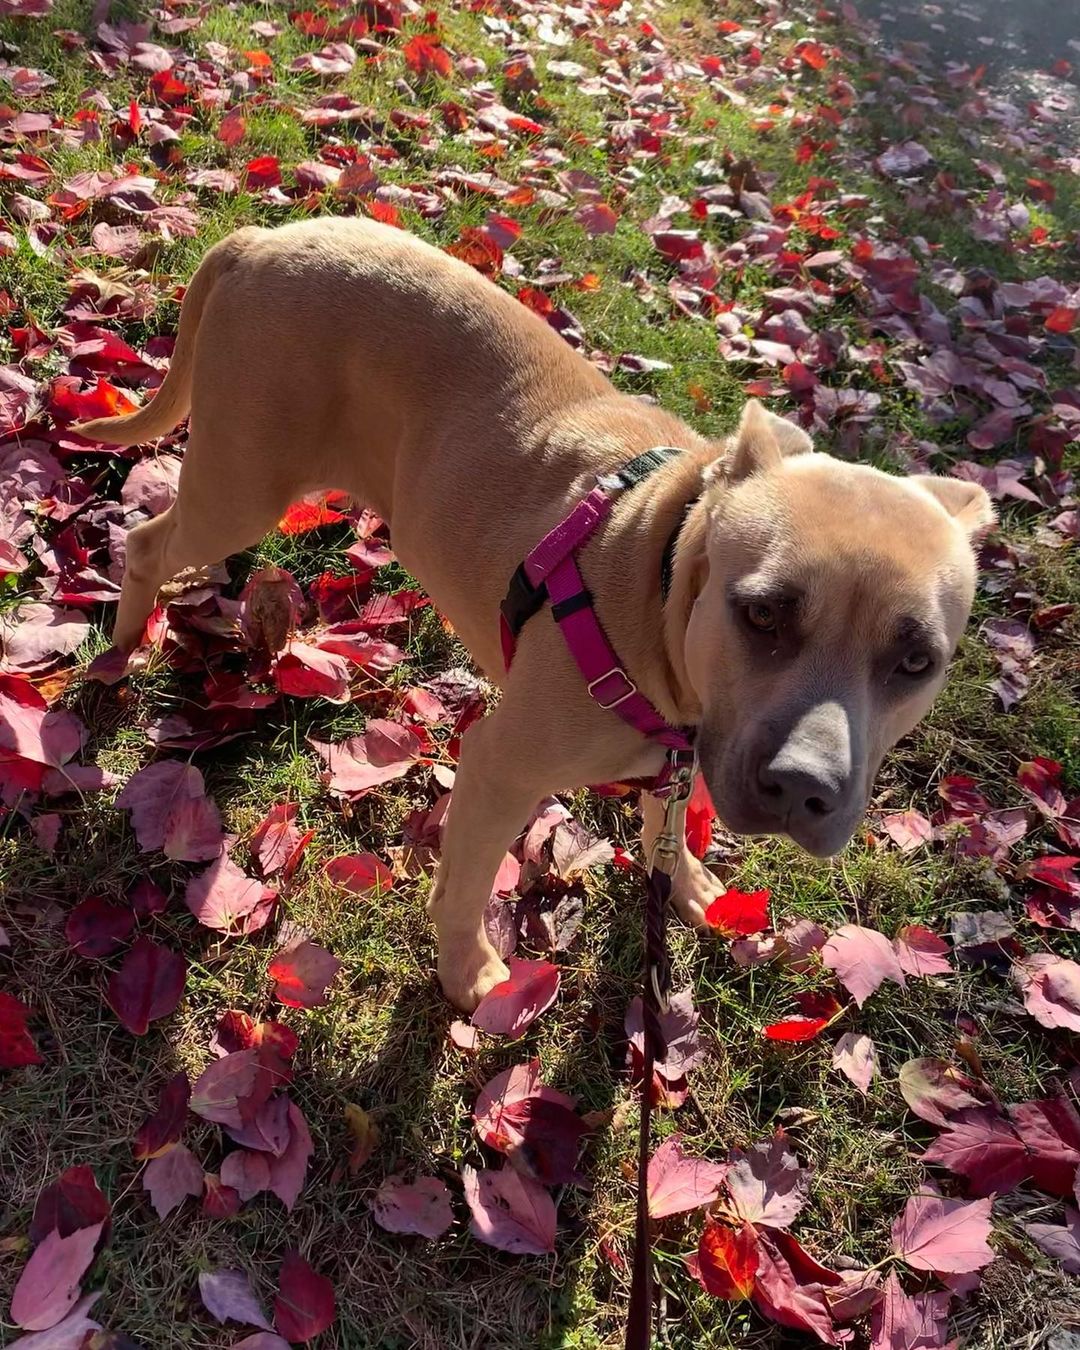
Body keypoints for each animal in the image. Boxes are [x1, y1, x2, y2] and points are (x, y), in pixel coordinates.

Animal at [77, 213, 993, 1015]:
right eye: (762, 613)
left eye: (916, 662)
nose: (805, 790)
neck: (662, 570)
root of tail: (259, 239)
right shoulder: (499, 770)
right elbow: (465, 887)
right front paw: (471, 973)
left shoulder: (693, 748)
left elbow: (668, 816)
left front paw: (687, 880)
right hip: (241, 484)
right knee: (148, 543)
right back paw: (122, 651)